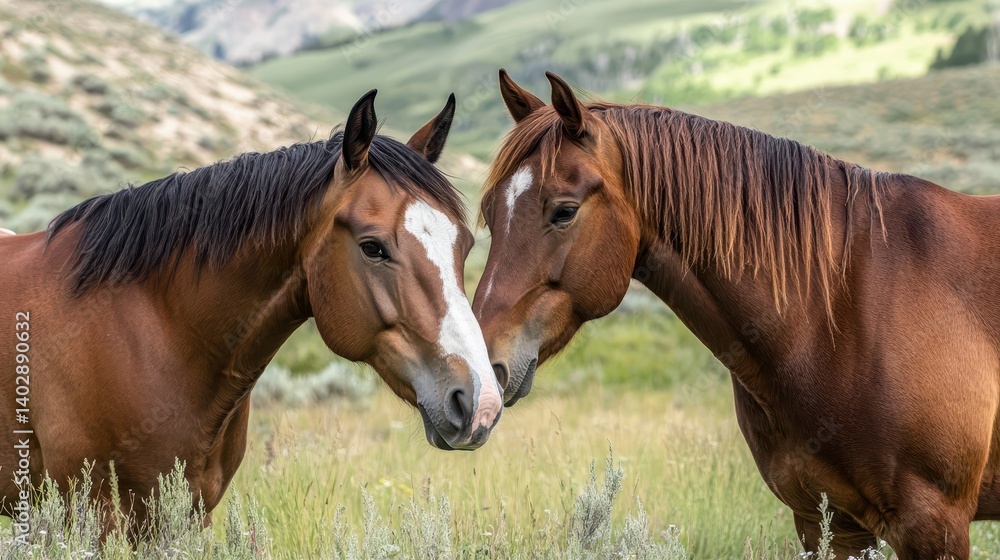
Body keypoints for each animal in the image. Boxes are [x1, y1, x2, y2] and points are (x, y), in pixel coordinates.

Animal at [0, 90, 503, 527]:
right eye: (373, 247)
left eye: (465, 245)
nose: (480, 402)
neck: (155, 327)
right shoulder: (90, 516)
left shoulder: (184, 517)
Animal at [473, 70, 1000, 559]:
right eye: (489, 213)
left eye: (564, 211)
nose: (482, 371)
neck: (842, 307)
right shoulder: (828, 523)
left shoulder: (932, 523)